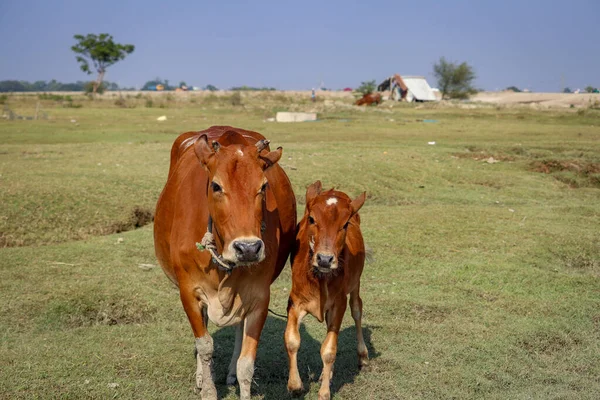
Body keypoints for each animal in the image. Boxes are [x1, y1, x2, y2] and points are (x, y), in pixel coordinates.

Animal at [154, 126, 296, 398]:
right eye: (216, 185)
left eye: (264, 186)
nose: (248, 248)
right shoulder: (189, 291)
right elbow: (205, 345)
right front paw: (208, 388)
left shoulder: (259, 296)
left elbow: (246, 364)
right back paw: (202, 375)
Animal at [284, 182, 368, 400]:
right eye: (312, 219)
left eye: (345, 224)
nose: (324, 259)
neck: (319, 278)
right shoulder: (295, 302)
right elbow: (292, 340)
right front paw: (295, 385)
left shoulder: (339, 304)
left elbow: (329, 350)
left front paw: (324, 392)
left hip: (356, 283)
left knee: (357, 310)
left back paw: (362, 356)